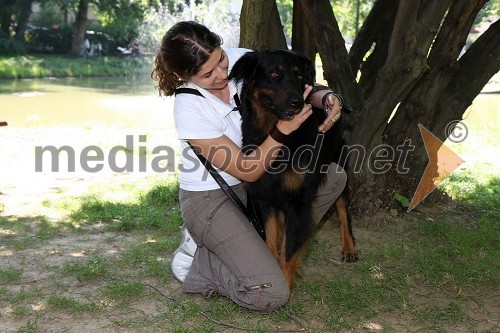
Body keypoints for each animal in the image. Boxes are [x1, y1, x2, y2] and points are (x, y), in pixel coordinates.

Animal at [229, 48, 358, 286]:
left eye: (298, 76)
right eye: (274, 74)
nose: (297, 103)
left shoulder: (299, 201)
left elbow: (288, 254)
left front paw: (286, 286)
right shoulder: (264, 195)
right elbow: (271, 242)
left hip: (340, 163)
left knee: (343, 208)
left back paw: (349, 247)